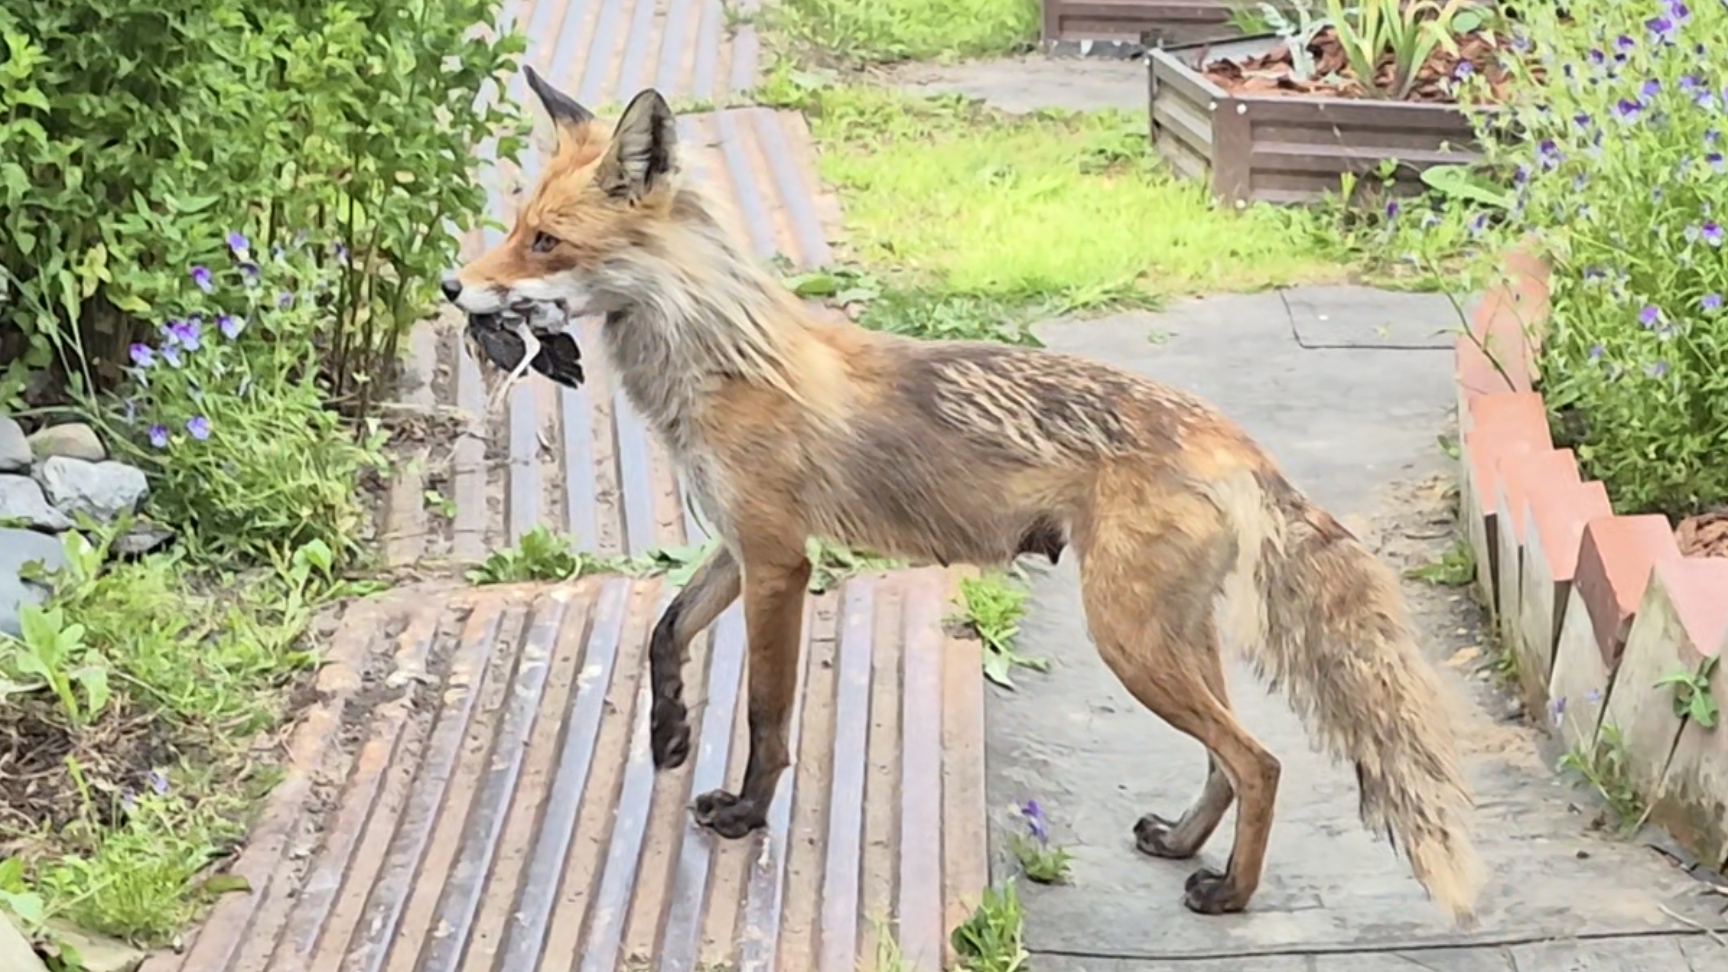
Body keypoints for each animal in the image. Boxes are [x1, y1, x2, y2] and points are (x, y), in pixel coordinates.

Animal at [441, 65, 1485, 924]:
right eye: (516, 228)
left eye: (545, 241)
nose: (453, 287)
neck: (719, 358)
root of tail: (1231, 436)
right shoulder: (739, 546)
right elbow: (663, 631)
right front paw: (667, 733)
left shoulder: (780, 562)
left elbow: (769, 718)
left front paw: (745, 812)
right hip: (1169, 638)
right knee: (1230, 759)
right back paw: (1186, 843)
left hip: (1129, 640)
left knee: (1260, 761)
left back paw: (1230, 892)